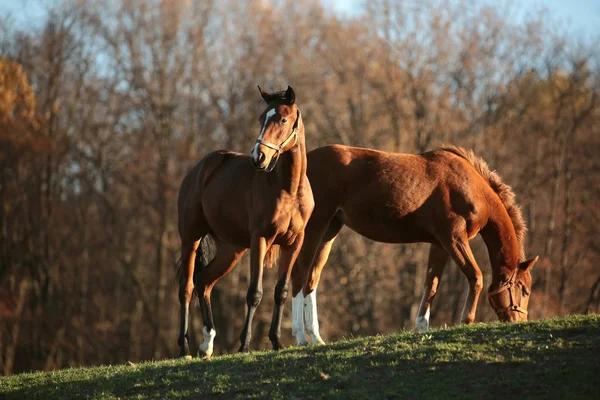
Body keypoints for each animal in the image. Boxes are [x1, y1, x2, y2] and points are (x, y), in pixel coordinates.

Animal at [176, 86, 314, 358]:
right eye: (262, 118)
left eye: (283, 119)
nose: (258, 156)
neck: (289, 190)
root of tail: (199, 169)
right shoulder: (260, 239)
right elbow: (254, 293)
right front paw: (244, 345)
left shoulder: (294, 243)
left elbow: (281, 291)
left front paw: (276, 341)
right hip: (191, 240)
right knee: (186, 287)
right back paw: (185, 347)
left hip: (231, 249)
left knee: (204, 282)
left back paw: (207, 344)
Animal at [290, 144, 540, 344]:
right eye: (525, 290)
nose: (519, 321)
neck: (471, 186)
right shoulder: (453, 239)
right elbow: (475, 276)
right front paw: (466, 320)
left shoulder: (439, 244)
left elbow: (431, 285)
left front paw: (421, 327)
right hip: (315, 227)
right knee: (298, 275)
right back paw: (301, 337)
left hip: (330, 229)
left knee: (311, 280)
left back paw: (316, 338)